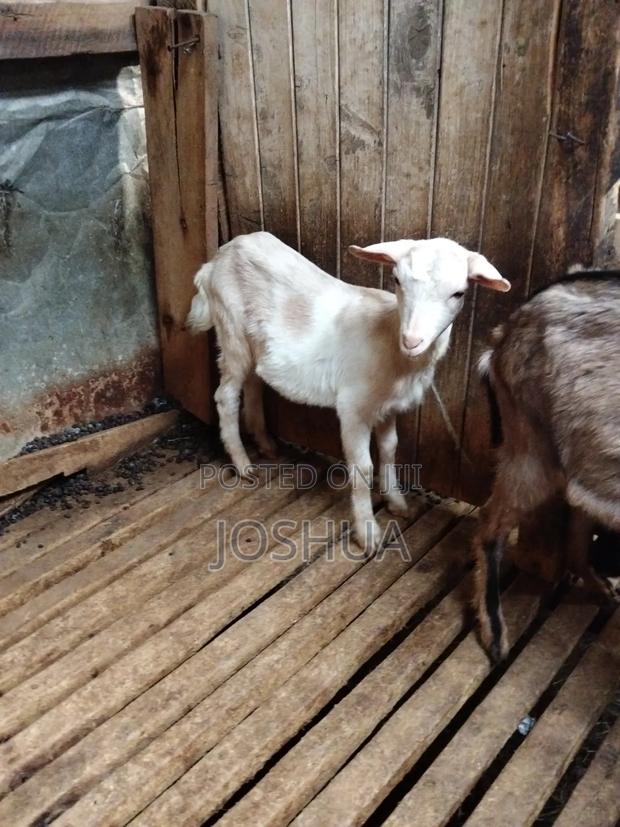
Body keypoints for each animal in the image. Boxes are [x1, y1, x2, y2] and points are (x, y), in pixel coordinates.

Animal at [188, 231, 510, 553]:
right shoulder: (354, 406)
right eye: (397, 280)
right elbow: (363, 468)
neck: (391, 343)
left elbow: (390, 450)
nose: (412, 340)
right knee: (226, 396)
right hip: (231, 328)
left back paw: (265, 443)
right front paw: (368, 533)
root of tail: (217, 259)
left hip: (255, 344)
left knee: (254, 383)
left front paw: (396, 502)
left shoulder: (388, 406)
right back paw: (243, 464)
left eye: (459, 293)